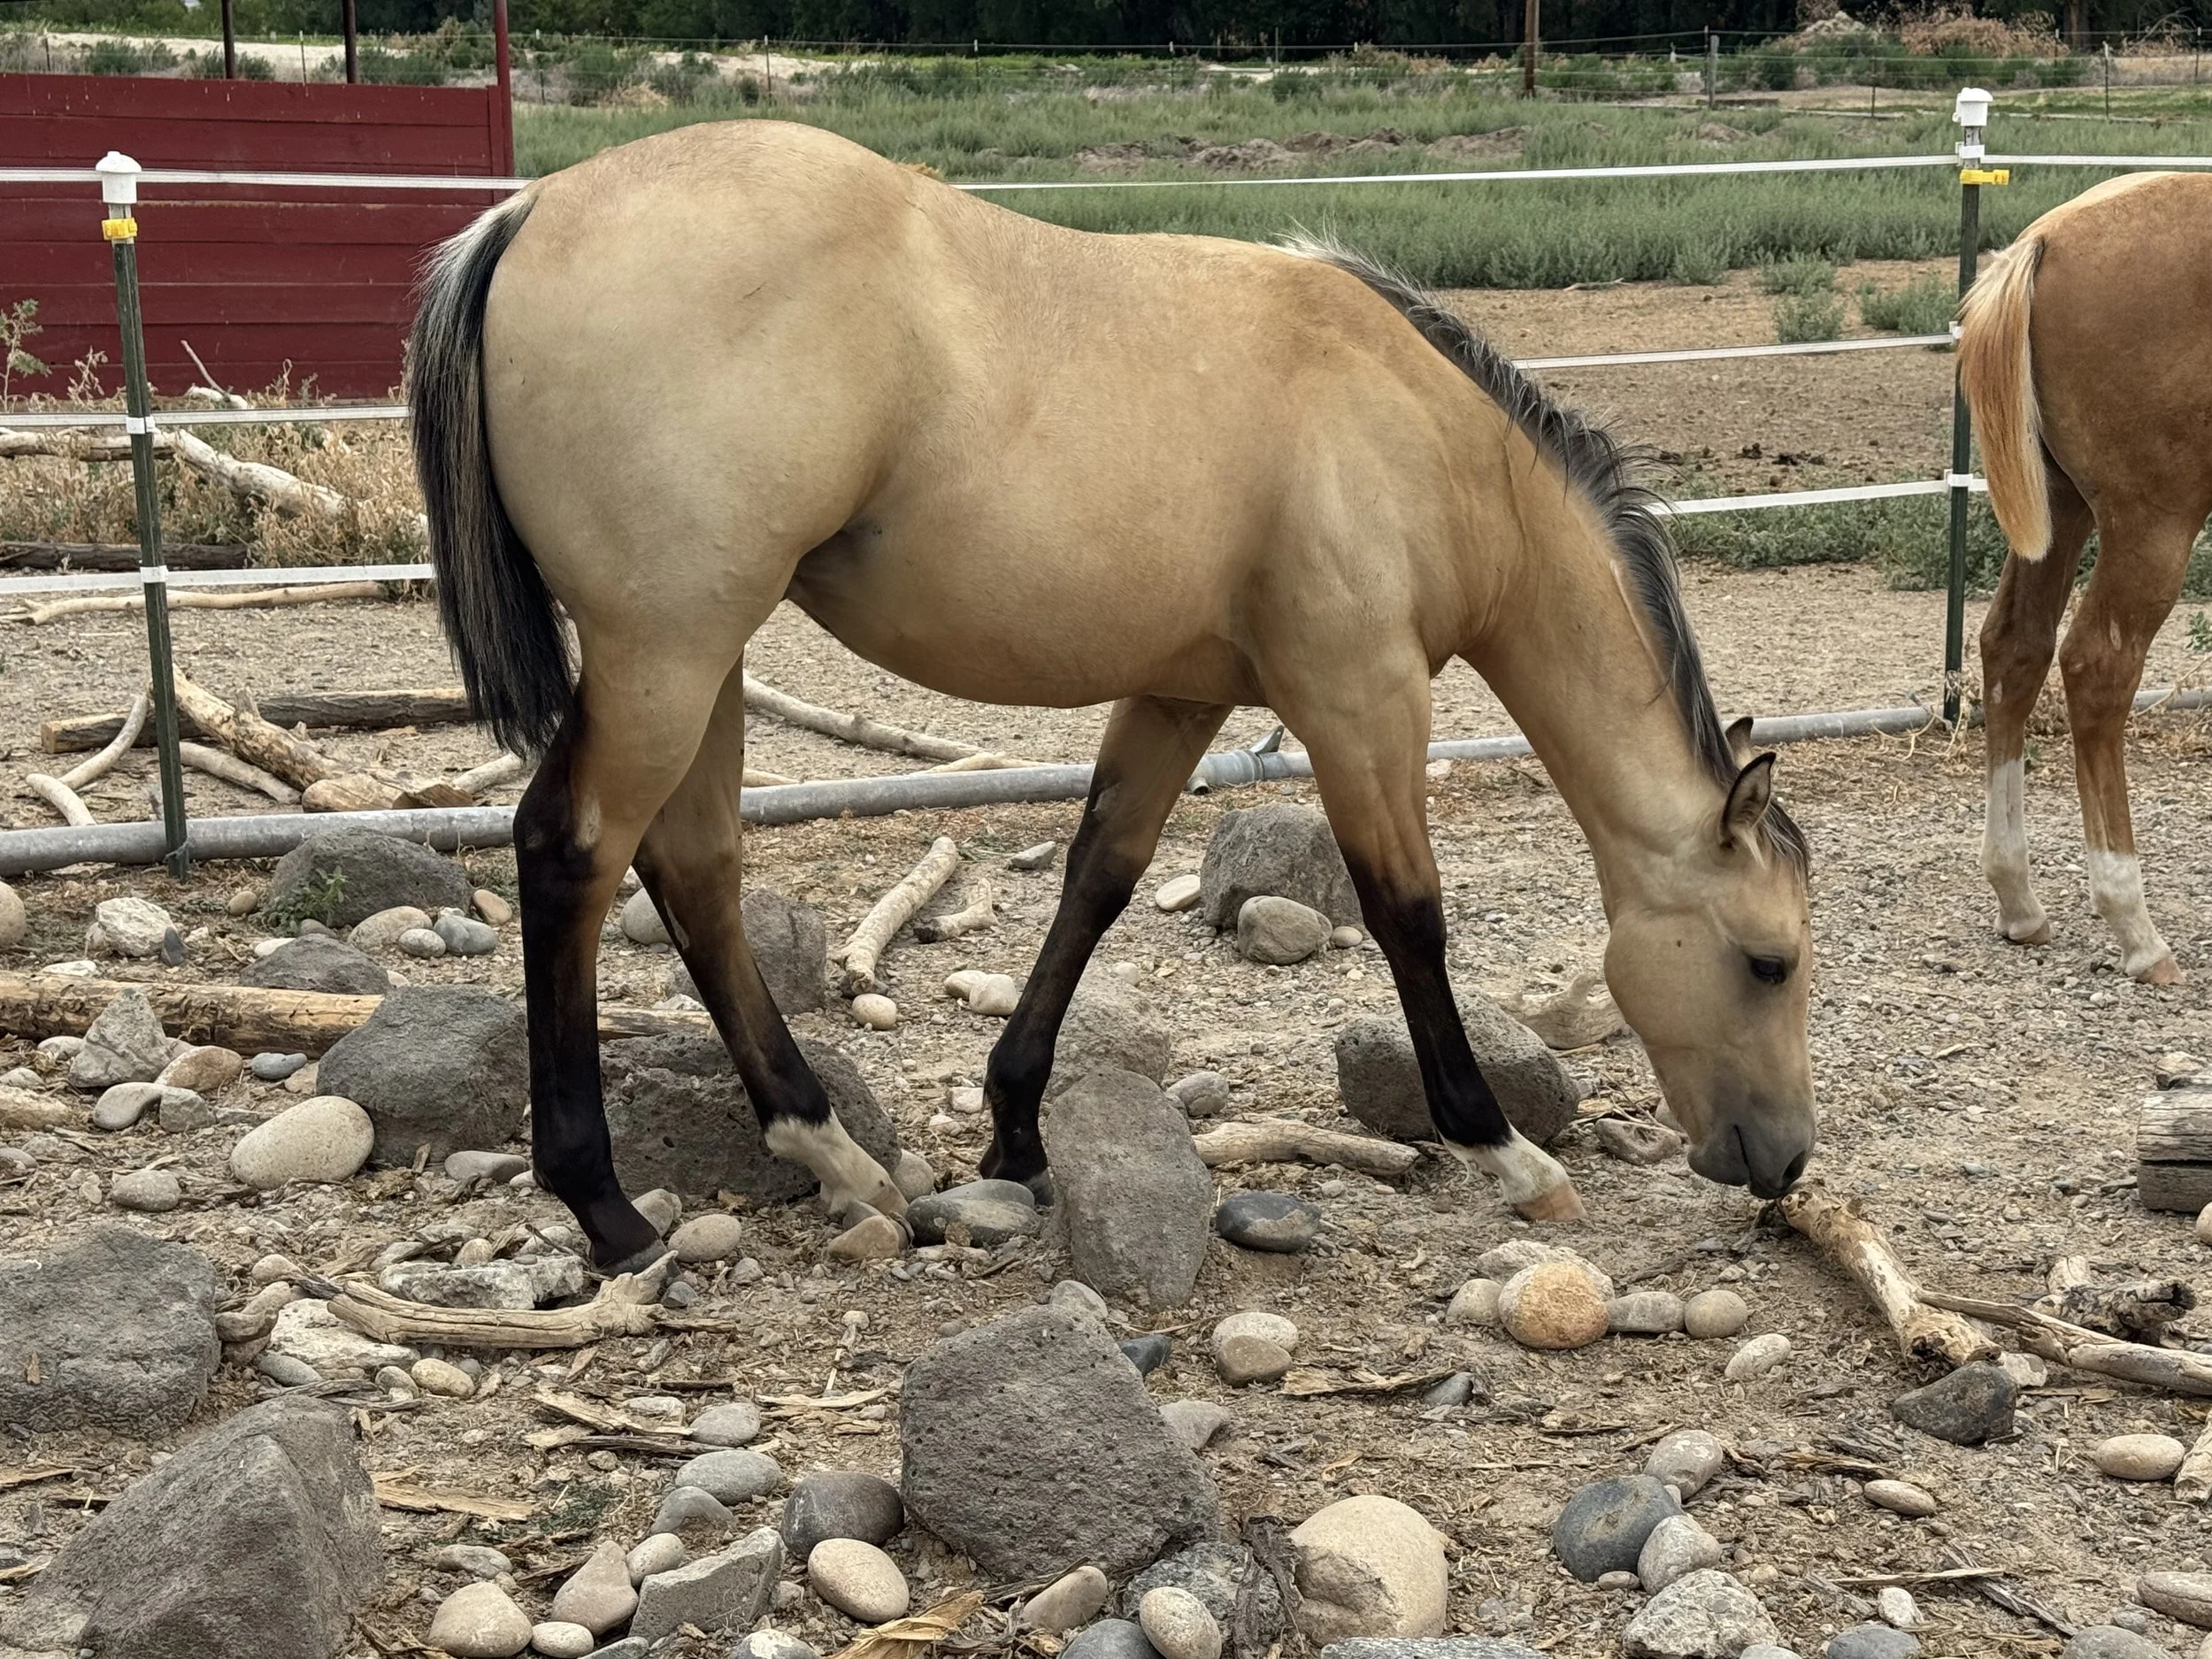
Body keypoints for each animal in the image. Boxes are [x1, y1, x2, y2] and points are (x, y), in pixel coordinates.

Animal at [407, 119, 1817, 1271]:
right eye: (1768, 960)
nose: (1785, 1157)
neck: (1426, 437)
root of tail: (525, 213)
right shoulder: (1359, 698)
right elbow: (1408, 913)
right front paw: (1503, 1150)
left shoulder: (1180, 698)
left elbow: (1098, 879)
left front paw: (1018, 1130)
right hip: (667, 652)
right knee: (571, 852)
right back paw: (605, 1206)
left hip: (706, 660)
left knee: (693, 870)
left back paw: (832, 1153)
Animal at [1960, 171, 2212, 985]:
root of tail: (2047, 241)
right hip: (2151, 527)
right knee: (2097, 667)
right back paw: (2136, 927)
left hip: (2058, 511)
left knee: (2015, 646)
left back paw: (2018, 900)